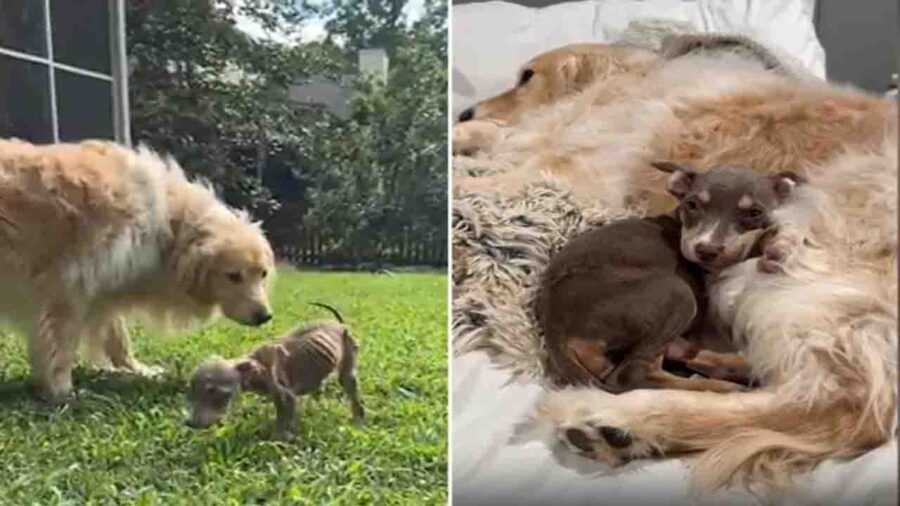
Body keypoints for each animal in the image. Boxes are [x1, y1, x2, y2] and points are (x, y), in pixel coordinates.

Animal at [185, 304, 364, 438]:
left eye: (213, 391)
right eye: (191, 391)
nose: (190, 423)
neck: (253, 367)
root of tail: (340, 324)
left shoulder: (285, 393)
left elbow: (284, 418)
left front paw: (279, 441)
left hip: (349, 353)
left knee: (349, 383)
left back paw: (358, 420)